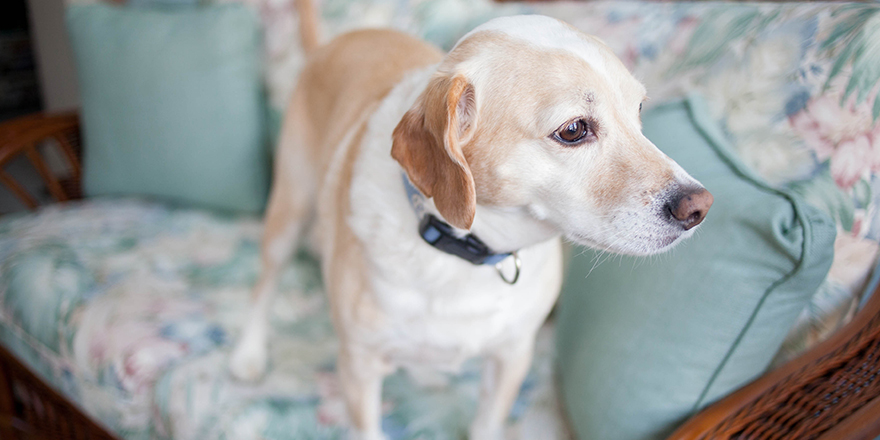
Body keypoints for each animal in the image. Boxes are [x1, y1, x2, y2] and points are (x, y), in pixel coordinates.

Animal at [230, 1, 712, 438]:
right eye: (574, 130)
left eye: (639, 110)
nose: (700, 207)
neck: (467, 255)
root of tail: (336, 41)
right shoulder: (358, 368)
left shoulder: (512, 358)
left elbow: (485, 424)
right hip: (289, 211)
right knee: (263, 285)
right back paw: (248, 354)